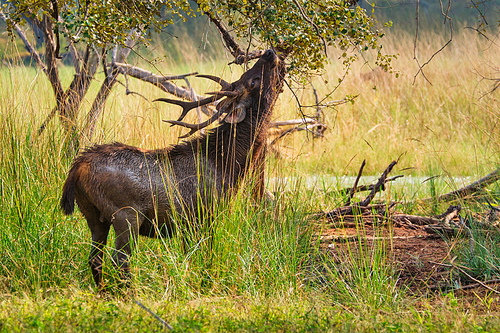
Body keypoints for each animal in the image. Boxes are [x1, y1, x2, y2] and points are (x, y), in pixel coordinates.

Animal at [59, 49, 282, 288]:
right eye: (253, 80)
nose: (269, 53)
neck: (229, 165)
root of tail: (76, 169)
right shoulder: (205, 215)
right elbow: (203, 256)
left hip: (92, 215)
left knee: (95, 258)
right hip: (126, 215)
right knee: (120, 260)